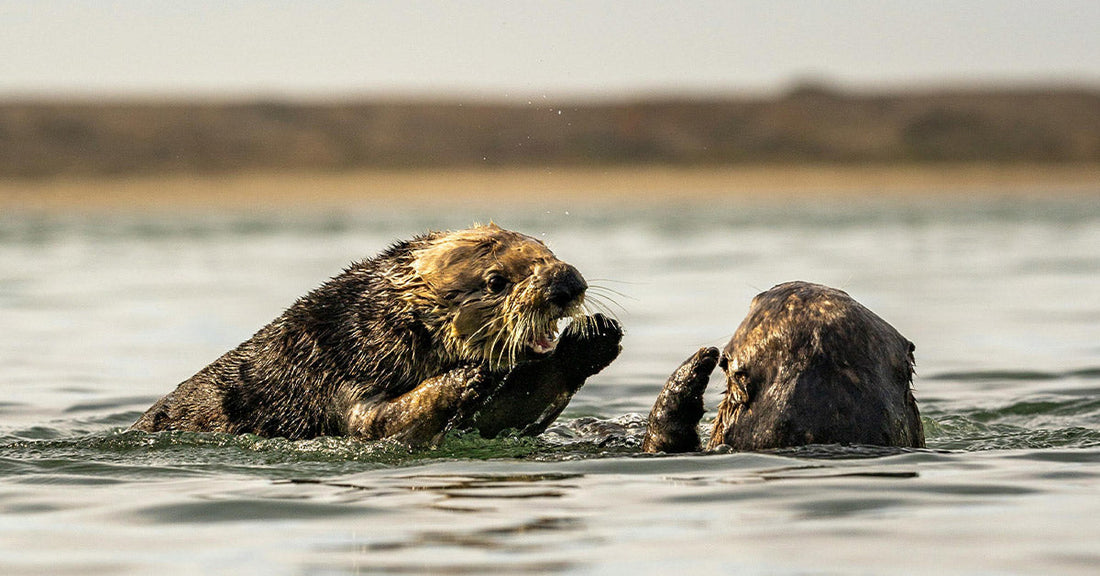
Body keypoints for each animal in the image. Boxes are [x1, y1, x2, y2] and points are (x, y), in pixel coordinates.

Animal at [132, 224, 622, 446]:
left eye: (548, 251)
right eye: (496, 281)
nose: (568, 283)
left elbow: (510, 413)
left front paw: (593, 336)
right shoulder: (337, 374)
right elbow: (382, 423)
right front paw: (466, 378)